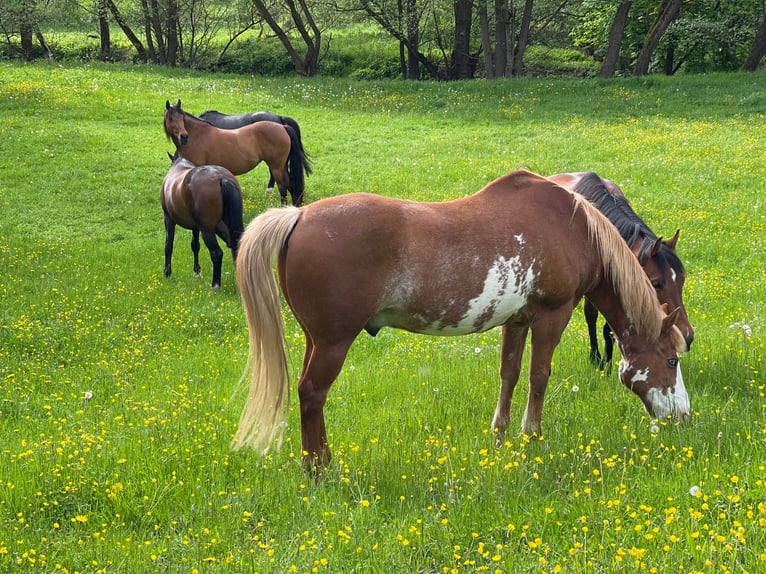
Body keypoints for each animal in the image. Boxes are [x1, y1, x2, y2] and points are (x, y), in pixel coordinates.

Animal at [161, 152, 244, 288]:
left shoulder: (168, 219)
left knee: (216, 253)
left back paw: (215, 284)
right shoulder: (195, 227)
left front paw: (167, 272)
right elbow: (195, 246)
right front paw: (197, 271)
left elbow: (168, 246)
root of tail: (221, 177)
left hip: (208, 230)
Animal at [163, 100, 311, 206]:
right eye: (170, 118)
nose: (183, 137)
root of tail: (282, 126)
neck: (197, 135)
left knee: (283, 187)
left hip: (276, 167)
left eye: (182, 117)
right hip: (282, 166)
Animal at [548, 172, 693, 370]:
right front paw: (598, 360)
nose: (688, 336)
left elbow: (610, 329)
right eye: (655, 283)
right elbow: (592, 317)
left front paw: (609, 362)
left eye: (682, 279)